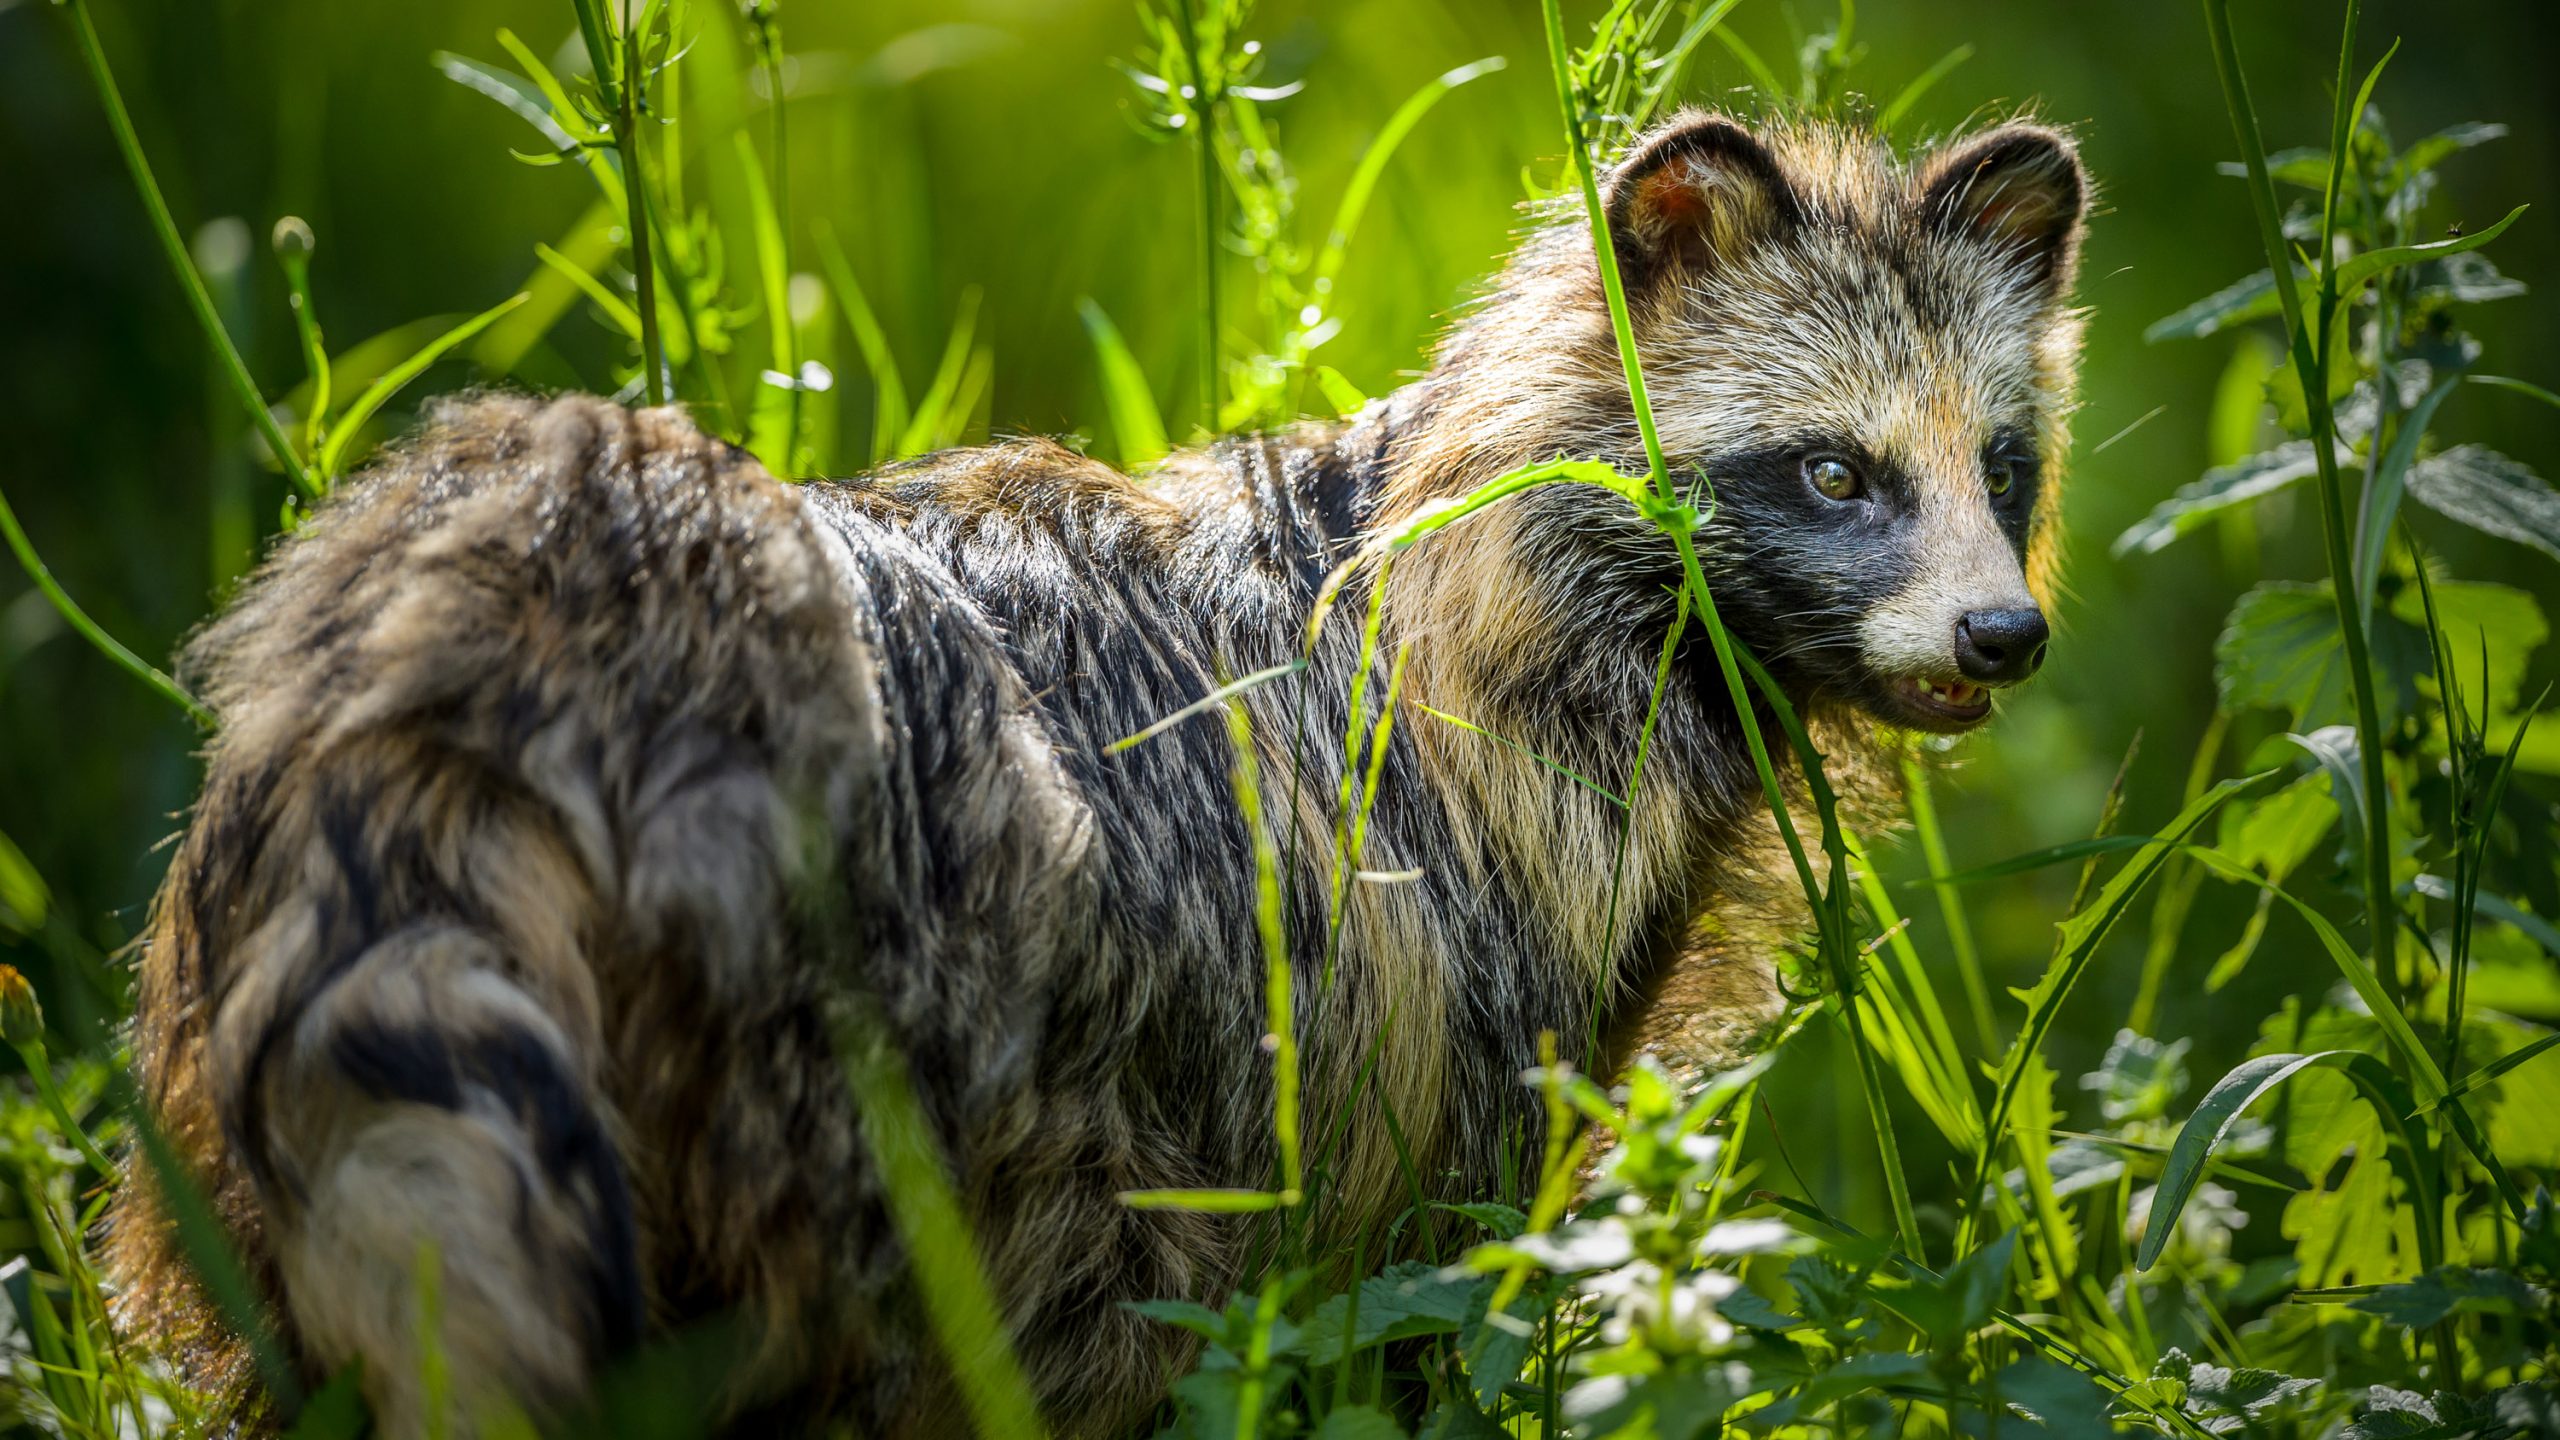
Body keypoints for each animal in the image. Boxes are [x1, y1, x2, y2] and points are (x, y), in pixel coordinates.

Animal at [110, 106, 2088, 1424]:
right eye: (1834, 472)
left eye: (1998, 463)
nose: (2006, 637)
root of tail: (536, 592)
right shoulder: (1429, 957)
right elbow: (1419, 1290)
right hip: (890, 1047)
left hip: (279, 1038)